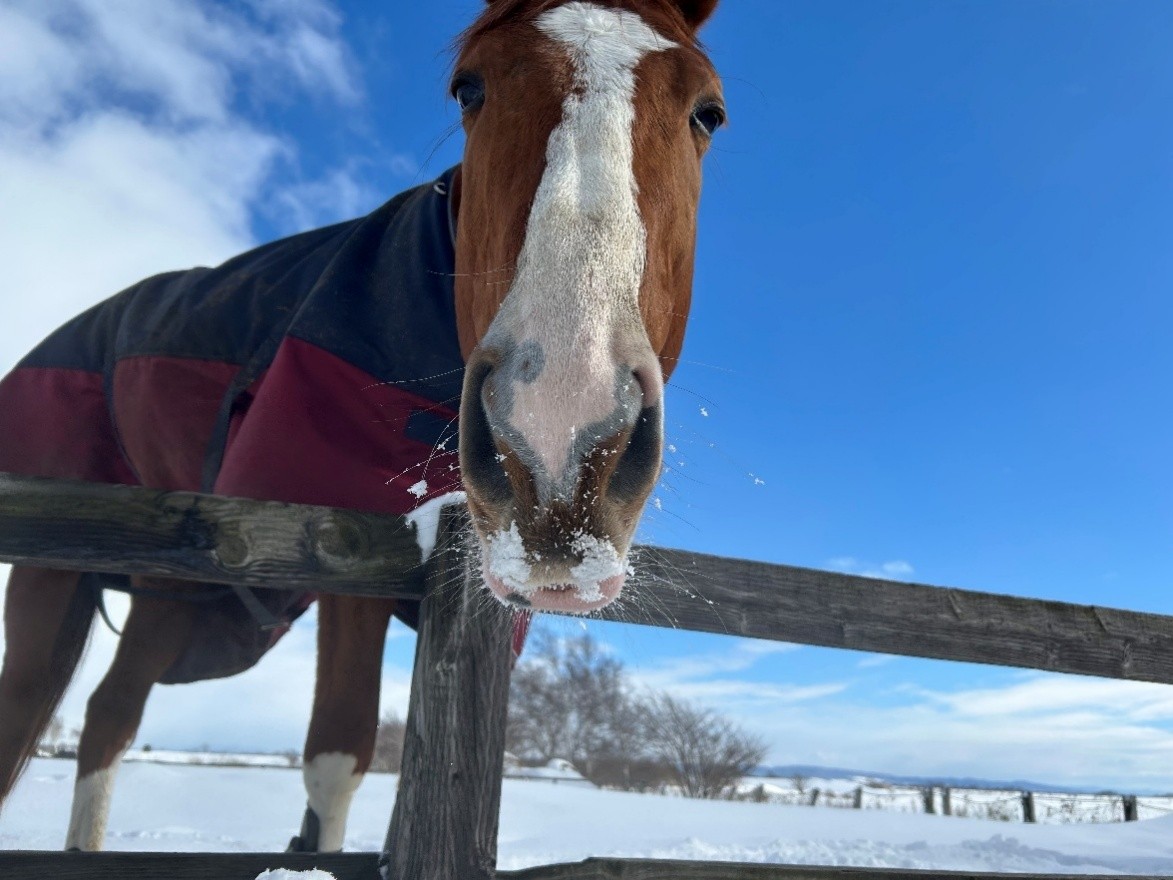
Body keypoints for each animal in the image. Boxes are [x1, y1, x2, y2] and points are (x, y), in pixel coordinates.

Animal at [0, 0, 724, 853]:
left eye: (707, 112)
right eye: (468, 88)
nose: (558, 436)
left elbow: (339, 747)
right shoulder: (347, 542)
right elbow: (335, 754)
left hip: (168, 585)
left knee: (110, 713)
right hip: (52, 571)